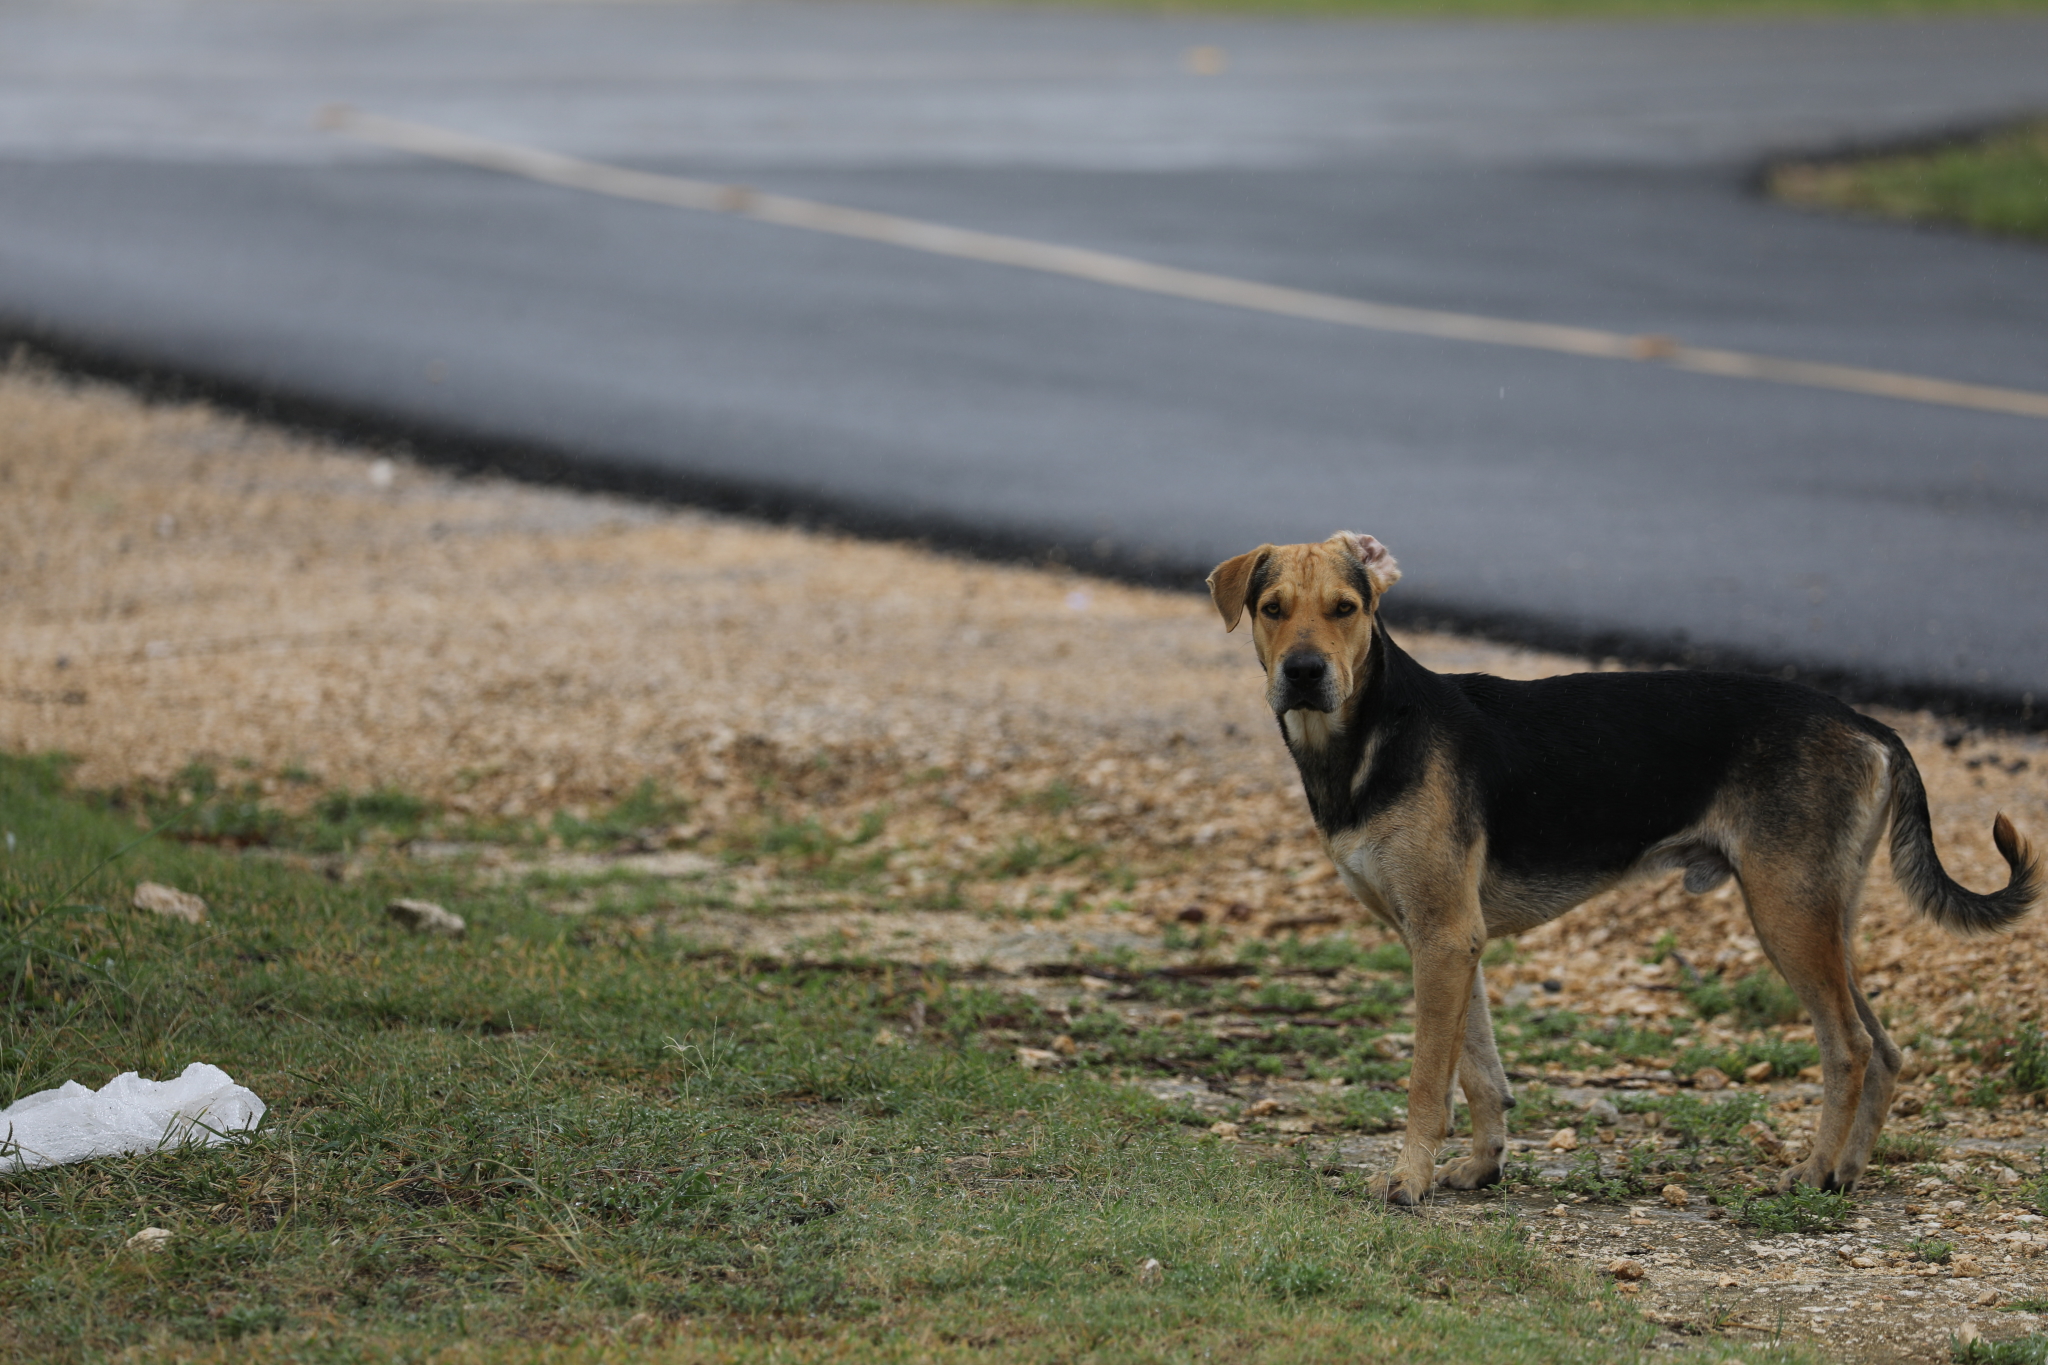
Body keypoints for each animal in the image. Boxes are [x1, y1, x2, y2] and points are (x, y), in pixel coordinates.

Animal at [1204, 532, 2039, 1203]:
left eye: (1345, 608)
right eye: (1272, 608)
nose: (1304, 671)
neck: (1373, 730)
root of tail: (1867, 723)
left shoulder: (1442, 936)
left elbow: (1426, 1082)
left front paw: (1408, 1179)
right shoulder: (1446, 940)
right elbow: (1479, 1071)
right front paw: (1481, 1167)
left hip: (1787, 912)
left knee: (1851, 1046)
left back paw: (1810, 1173)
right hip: (1824, 914)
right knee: (1886, 1048)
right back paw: (1846, 1173)